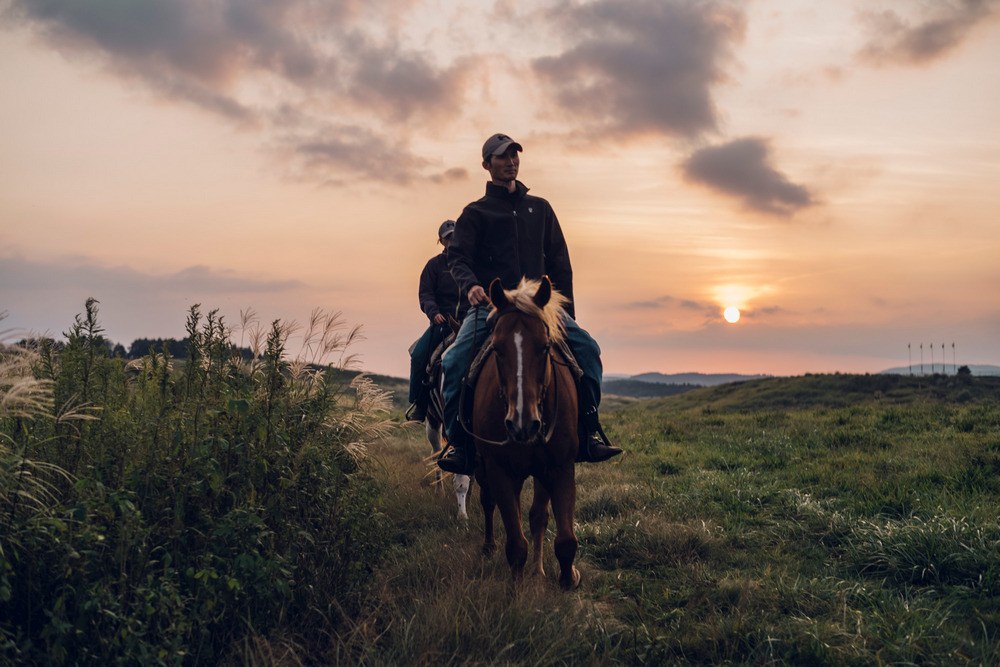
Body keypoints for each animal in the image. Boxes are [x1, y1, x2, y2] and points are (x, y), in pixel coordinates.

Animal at [472, 276, 584, 588]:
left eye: (545, 347)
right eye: (497, 349)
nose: (523, 423)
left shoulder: (560, 467)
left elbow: (565, 540)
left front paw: (567, 581)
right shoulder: (498, 470)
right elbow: (515, 544)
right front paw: (516, 591)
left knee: (537, 516)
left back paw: (538, 570)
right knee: (489, 502)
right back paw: (489, 547)